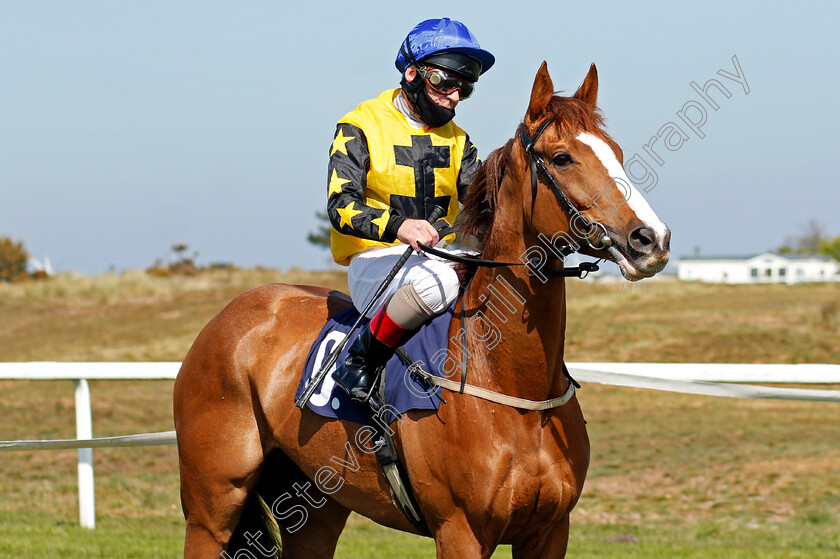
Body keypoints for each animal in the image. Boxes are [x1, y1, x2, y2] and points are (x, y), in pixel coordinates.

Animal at [176, 63, 668, 556]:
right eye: (562, 158)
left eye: (616, 152)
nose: (651, 239)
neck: (516, 390)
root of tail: (227, 317)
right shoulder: (460, 532)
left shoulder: (549, 532)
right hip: (213, 503)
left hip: (314, 506)